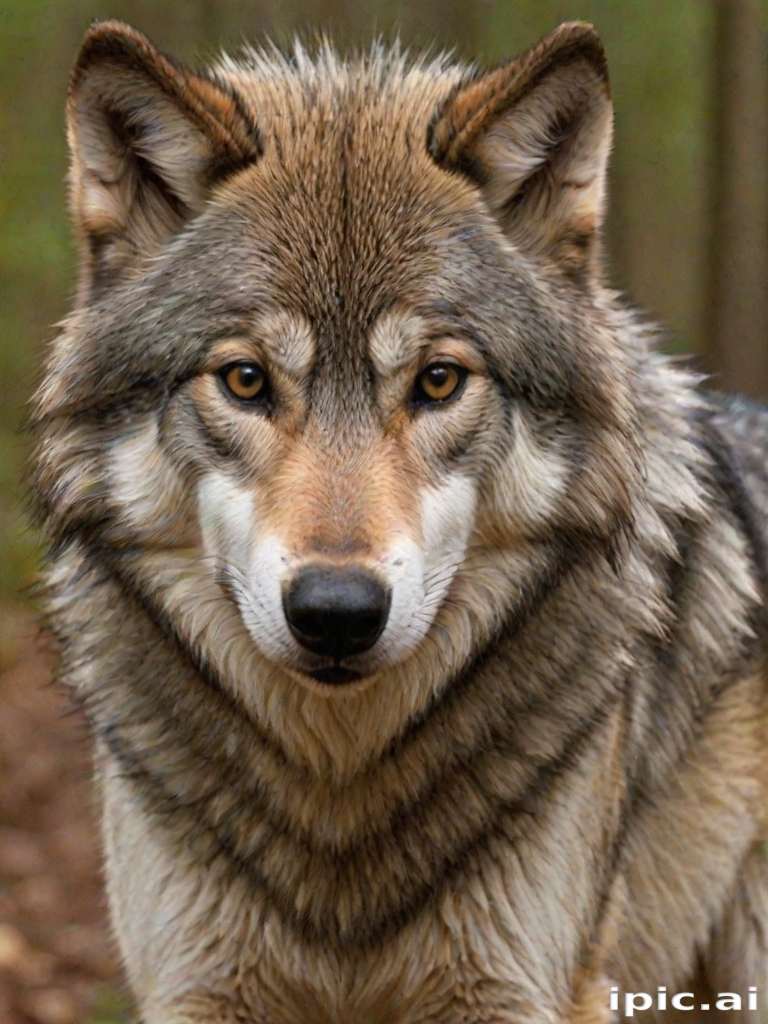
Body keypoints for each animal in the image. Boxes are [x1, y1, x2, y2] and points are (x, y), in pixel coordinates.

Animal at [28, 16, 768, 1024]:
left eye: (439, 380)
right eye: (245, 380)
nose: (337, 612)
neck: (341, 791)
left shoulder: (519, 987)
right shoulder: (196, 984)